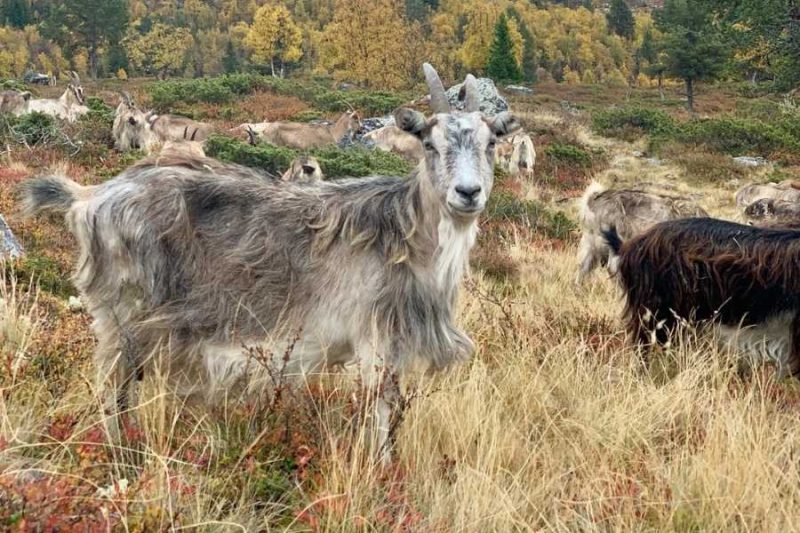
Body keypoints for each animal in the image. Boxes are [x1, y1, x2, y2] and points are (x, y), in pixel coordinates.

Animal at [20, 63, 520, 462]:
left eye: (492, 142)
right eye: (429, 144)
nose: (468, 193)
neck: (401, 231)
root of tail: (88, 197)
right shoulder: (374, 336)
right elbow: (381, 408)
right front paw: (382, 471)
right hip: (121, 313)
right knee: (110, 387)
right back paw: (120, 454)